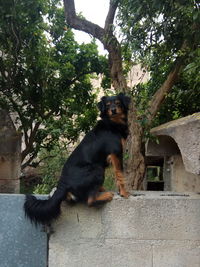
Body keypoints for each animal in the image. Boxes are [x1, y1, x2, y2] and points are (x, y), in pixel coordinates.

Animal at [24, 93, 130, 225]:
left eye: (118, 102)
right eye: (108, 105)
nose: (113, 110)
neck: (112, 123)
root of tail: (62, 183)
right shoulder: (116, 153)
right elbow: (120, 174)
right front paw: (124, 193)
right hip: (96, 168)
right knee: (90, 200)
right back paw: (106, 195)